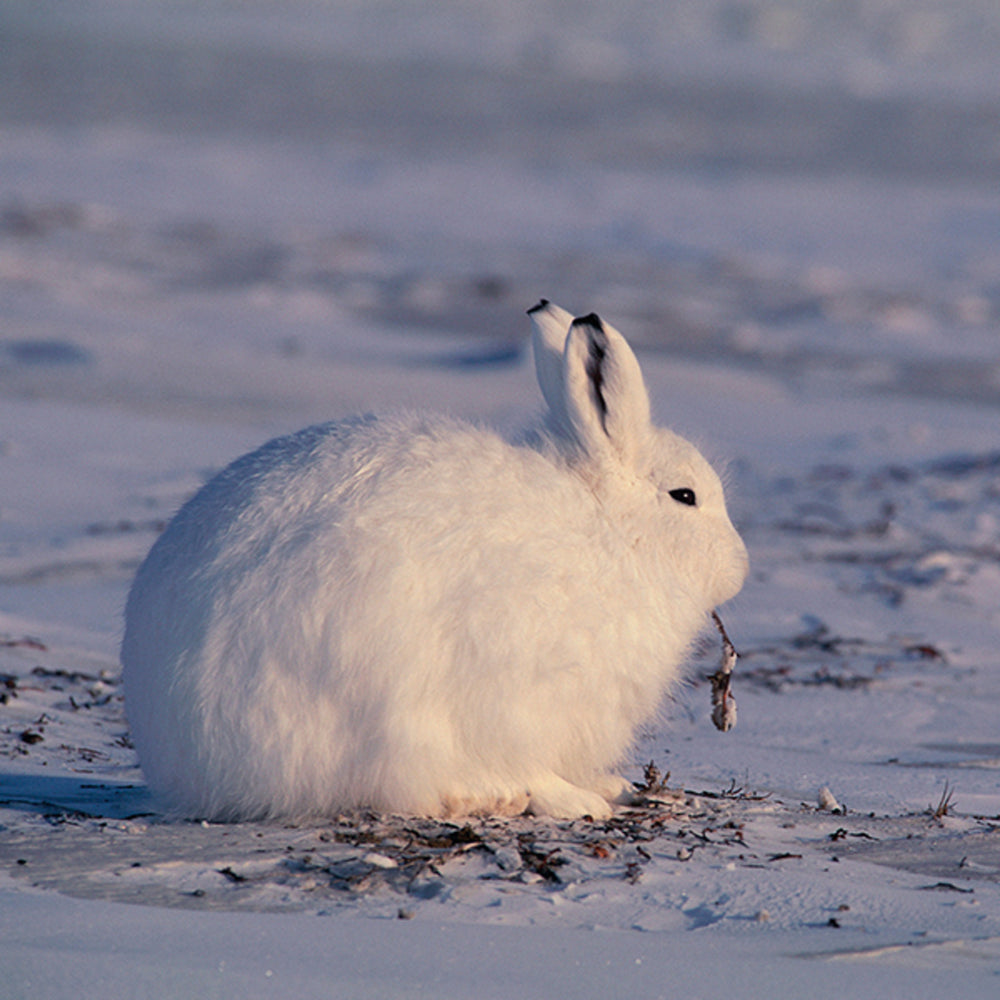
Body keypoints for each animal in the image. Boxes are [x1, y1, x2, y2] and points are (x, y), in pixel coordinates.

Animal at [121, 301, 748, 822]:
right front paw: (580, 800)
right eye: (685, 496)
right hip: (385, 707)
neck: (612, 532)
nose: (739, 567)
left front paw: (608, 784)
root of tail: (192, 762)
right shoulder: (519, 692)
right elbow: (530, 760)